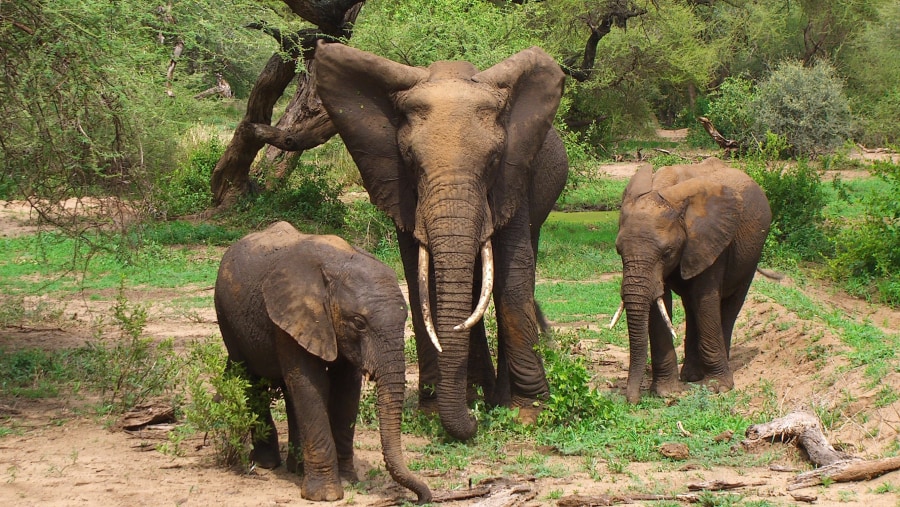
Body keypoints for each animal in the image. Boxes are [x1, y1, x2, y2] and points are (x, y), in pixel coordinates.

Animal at [214, 222, 432, 504]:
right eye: (358, 323)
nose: (420, 498)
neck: (337, 264)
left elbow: (346, 387)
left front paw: (348, 480)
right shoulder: (291, 316)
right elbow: (310, 384)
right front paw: (325, 496)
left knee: (288, 390)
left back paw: (296, 469)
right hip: (225, 315)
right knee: (252, 379)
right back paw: (267, 465)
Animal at [314, 42, 568, 440]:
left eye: (493, 160)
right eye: (411, 161)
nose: (474, 423)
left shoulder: (514, 177)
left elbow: (512, 281)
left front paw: (528, 414)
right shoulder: (402, 192)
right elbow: (424, 284)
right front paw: (435, 412)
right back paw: (480, 394)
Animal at [616, 159, 768, 404]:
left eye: (667, 252)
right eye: (619, 251)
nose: (632, 400)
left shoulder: (711, 241)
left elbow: (705, 300)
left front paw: (718, 388)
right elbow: (660, 302)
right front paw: (667, 393)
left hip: (751, 256)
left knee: (727, 306)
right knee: (691, 307)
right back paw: (691, 376)